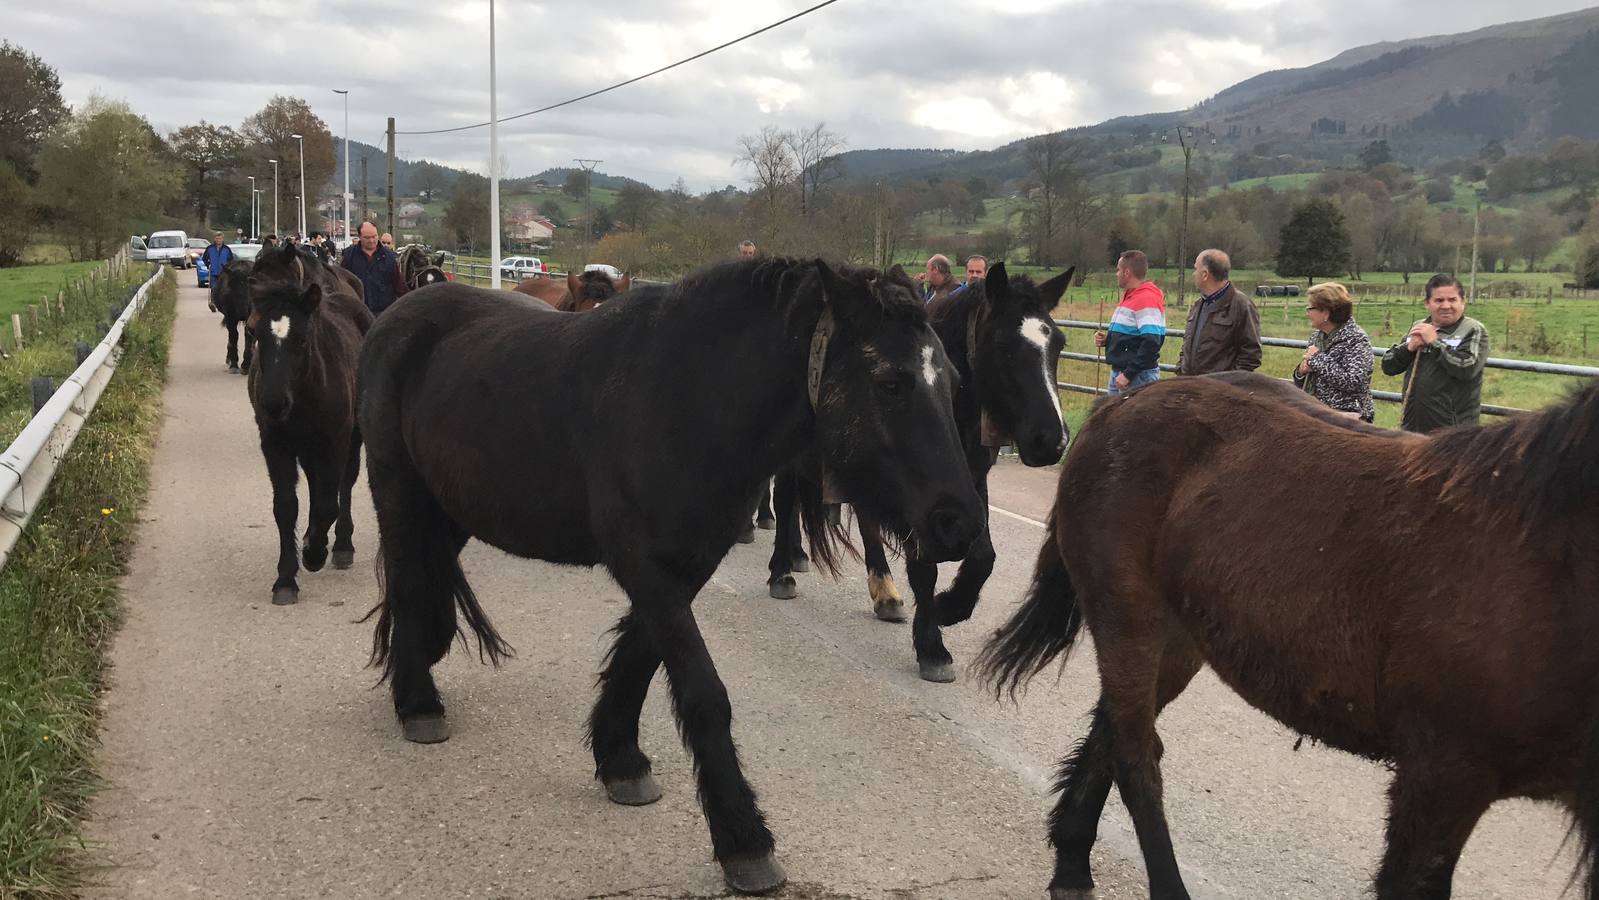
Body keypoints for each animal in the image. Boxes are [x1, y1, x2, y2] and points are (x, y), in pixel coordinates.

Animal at [358, 257, 984, 895]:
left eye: (955, 384)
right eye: (891, 383)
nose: (957, 523)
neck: (684, 398)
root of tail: (402, 315)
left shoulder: (686, 566)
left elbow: (639, 659)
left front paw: (620, 759)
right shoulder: (645, 566)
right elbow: (703, 692)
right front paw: (743, 837)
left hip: (452, 507)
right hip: (399, 491)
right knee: (408, 581)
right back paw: (418, 703)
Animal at [764, 263, 1068, 680]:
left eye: (1058, 346)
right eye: (1004, 345)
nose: (1052, 440)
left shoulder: (968, 486)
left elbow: (983, 555)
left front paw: (951, 607)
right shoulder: (922, 496)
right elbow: (925, 566)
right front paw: (932, 645)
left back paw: (882, 590)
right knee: (786, 501)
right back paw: (783, 570)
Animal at [972, 370, 1599, 900]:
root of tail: (1123, 402)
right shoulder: (1442, 774)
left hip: (1178, 640)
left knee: (1111, 731)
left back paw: (1071, 861)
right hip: (1128, 620)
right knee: (1136, 757)